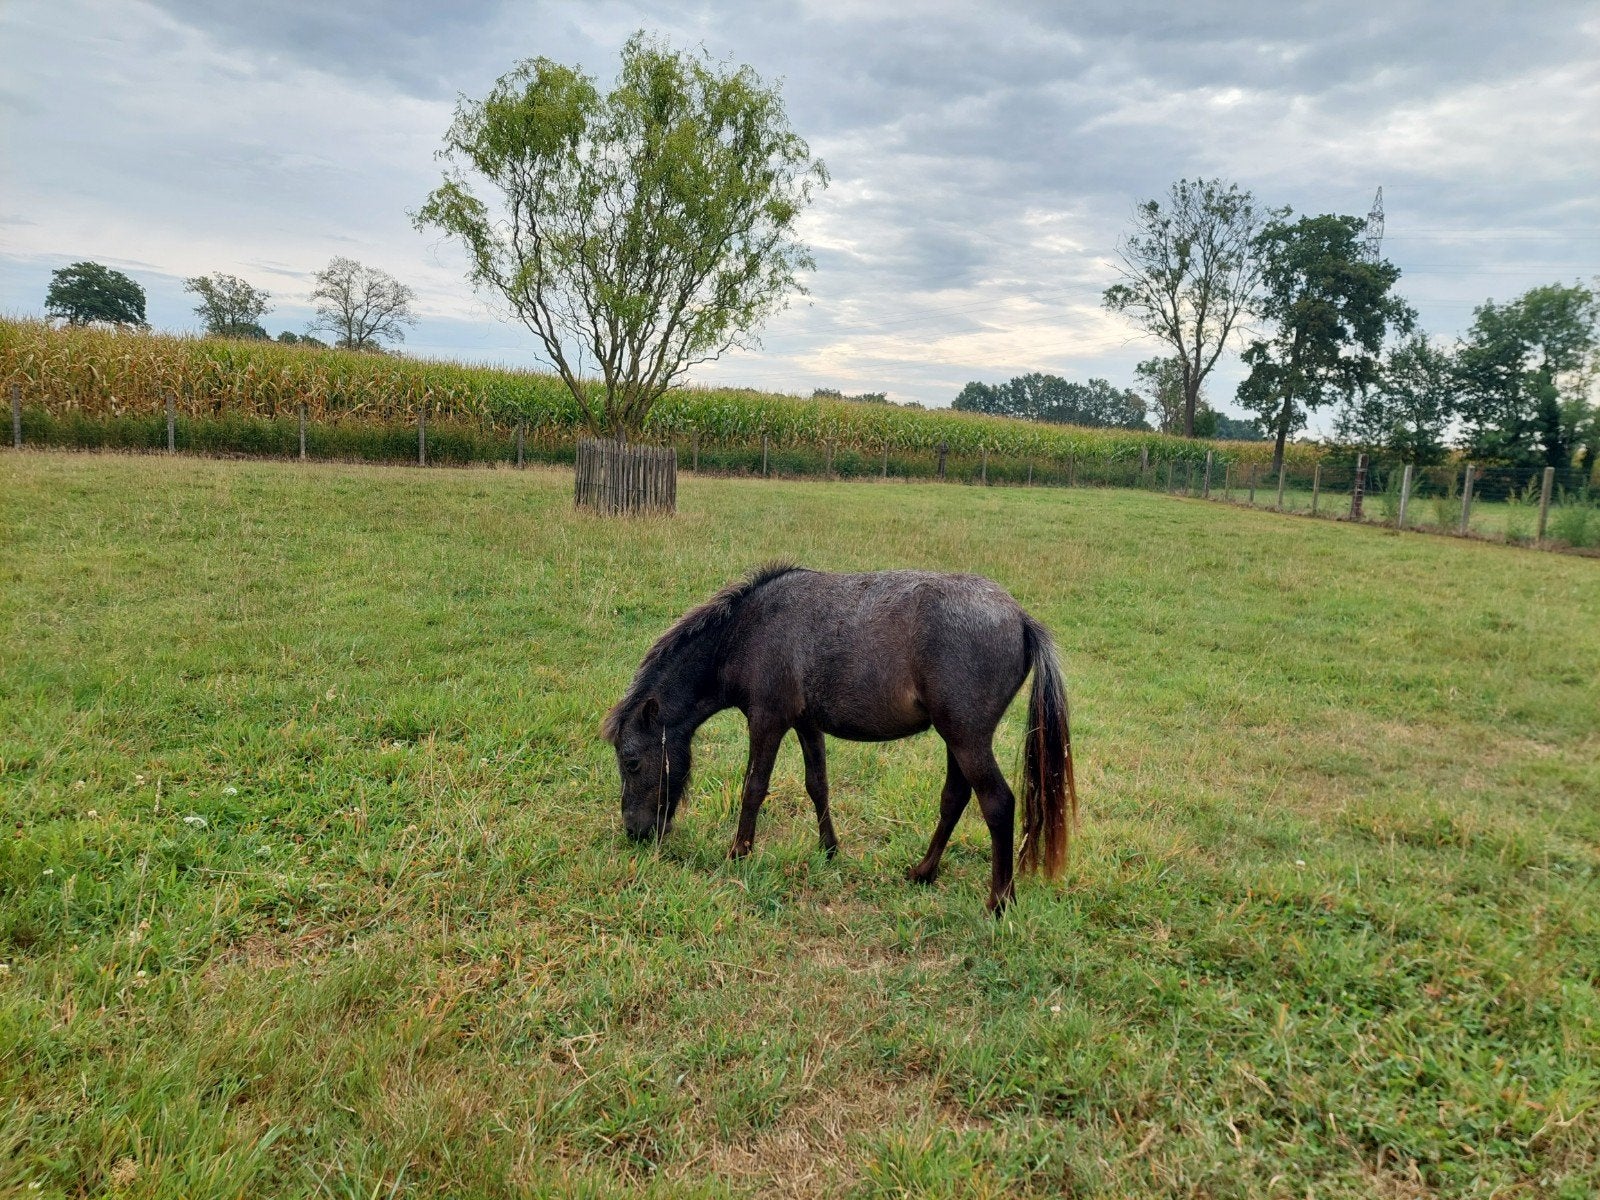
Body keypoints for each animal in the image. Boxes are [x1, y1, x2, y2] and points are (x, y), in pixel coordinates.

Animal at [601, 565, 1078, 913]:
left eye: (631, 760)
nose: (635, 831)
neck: (747, 631)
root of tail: (1021, 619)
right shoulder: (806, 724)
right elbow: (818, 785)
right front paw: (829, 849)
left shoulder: (767, 720)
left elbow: (753, 788)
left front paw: (739, 853)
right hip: (957, 740)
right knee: (955, 798)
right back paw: (923, 872)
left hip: (966, 738)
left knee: (997, 803)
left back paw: (1000, 900)